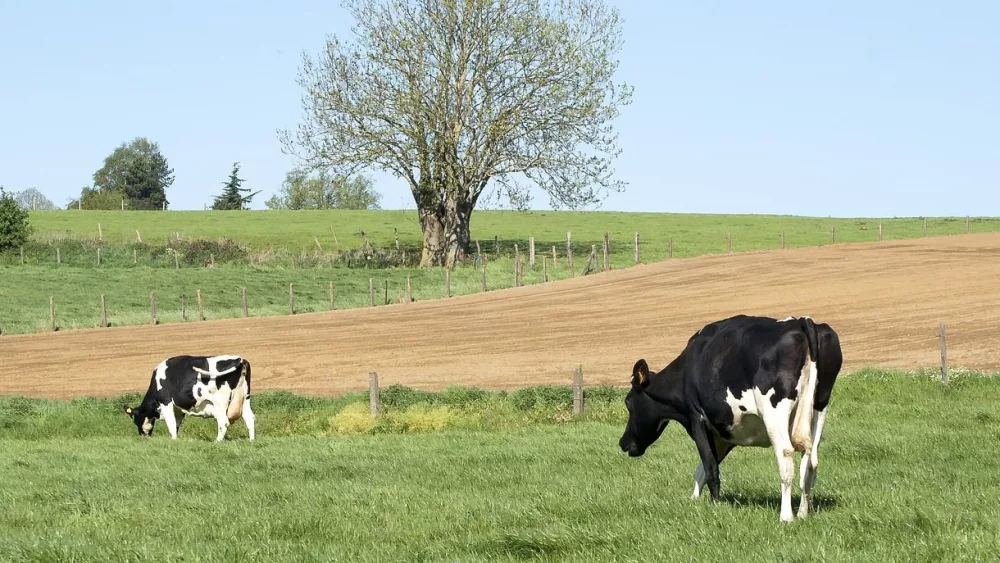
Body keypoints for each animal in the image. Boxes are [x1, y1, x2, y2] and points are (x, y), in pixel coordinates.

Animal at [123, 354, 256, 442]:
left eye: (135, 420)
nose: (142, 436)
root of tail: (240, 359)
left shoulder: (165, 402)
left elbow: (171, 423)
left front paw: (173, 440)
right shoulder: (178, 409)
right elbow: (176, 424)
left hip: (220, 403)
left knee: (223, 422)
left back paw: (217, 441)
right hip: (245, 398)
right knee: (249, 418)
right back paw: (251, 440)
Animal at [618, 314, 842, 523]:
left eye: (628, 402)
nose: (623, 442)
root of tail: (802, 322)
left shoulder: (697, 418)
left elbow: (710, 469)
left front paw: (715, 506)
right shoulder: (724, 432)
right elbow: (702, 469)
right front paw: (694, 501)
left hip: (774, 412)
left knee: (786, 458)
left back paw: (786, 517)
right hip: (819, 406)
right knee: (810, 463)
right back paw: (803, 513)